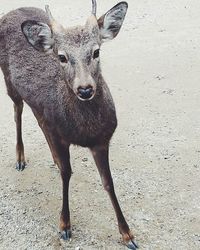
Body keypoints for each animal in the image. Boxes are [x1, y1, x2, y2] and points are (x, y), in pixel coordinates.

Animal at [0, 0, 138, 249]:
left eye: (96, 51)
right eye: (62, 57)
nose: (84, 89)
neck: (85, 132)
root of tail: (12, 12)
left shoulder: (102, 141)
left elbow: (108, 182)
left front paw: (127, 234)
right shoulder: (61, 137)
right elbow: (67, 174)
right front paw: (64, 225)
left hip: (39, 107)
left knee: (38, 119)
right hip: (8, 81)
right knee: (17, 112)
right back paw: (20, 158)